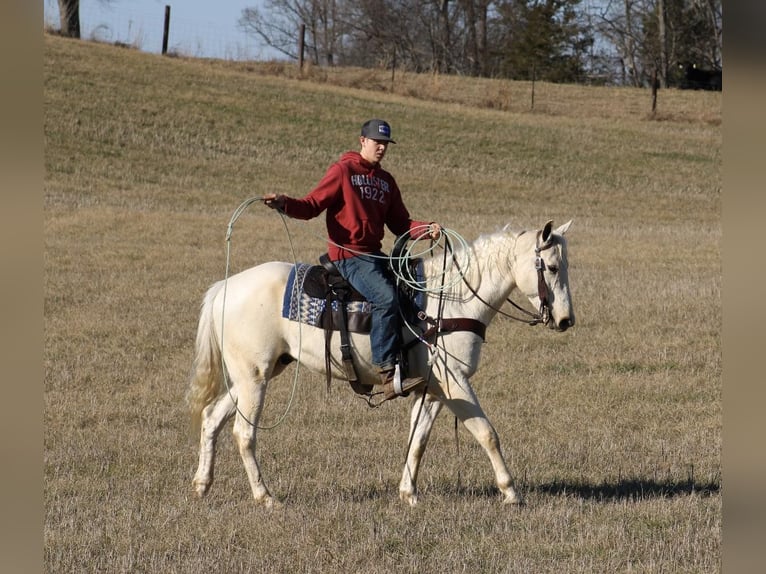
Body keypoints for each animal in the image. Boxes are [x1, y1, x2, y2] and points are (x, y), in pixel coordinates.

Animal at [189, 220, 572, 508]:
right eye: (552, 267)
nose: (566, 320)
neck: (450, 301)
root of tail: (224, 286)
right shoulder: (455, 381)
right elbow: (486, 432)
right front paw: (511, 492)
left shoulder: (433, 389)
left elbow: (418, 439)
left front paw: (408, 493)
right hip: (254, 379)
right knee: (243, 433)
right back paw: (265, 497)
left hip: (249, 377)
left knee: (212, 418)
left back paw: (202, 484)